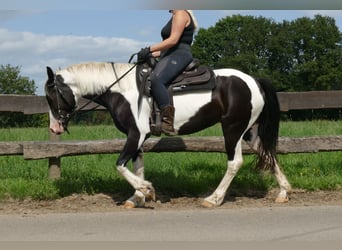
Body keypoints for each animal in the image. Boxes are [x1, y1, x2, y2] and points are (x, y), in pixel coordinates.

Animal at [44, 61, 292, 208]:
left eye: (50, 96)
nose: (54, 128)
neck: (123, 91)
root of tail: (254, 81)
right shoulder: (138, 139)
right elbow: (137, 167)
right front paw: (138, 197)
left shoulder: (136, 134)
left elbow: (120, 165)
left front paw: (147, 190)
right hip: (249, 132)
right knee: (268, 154)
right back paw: (283, 192)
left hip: (232, 129)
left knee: (235, 162)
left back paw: (213, 198)